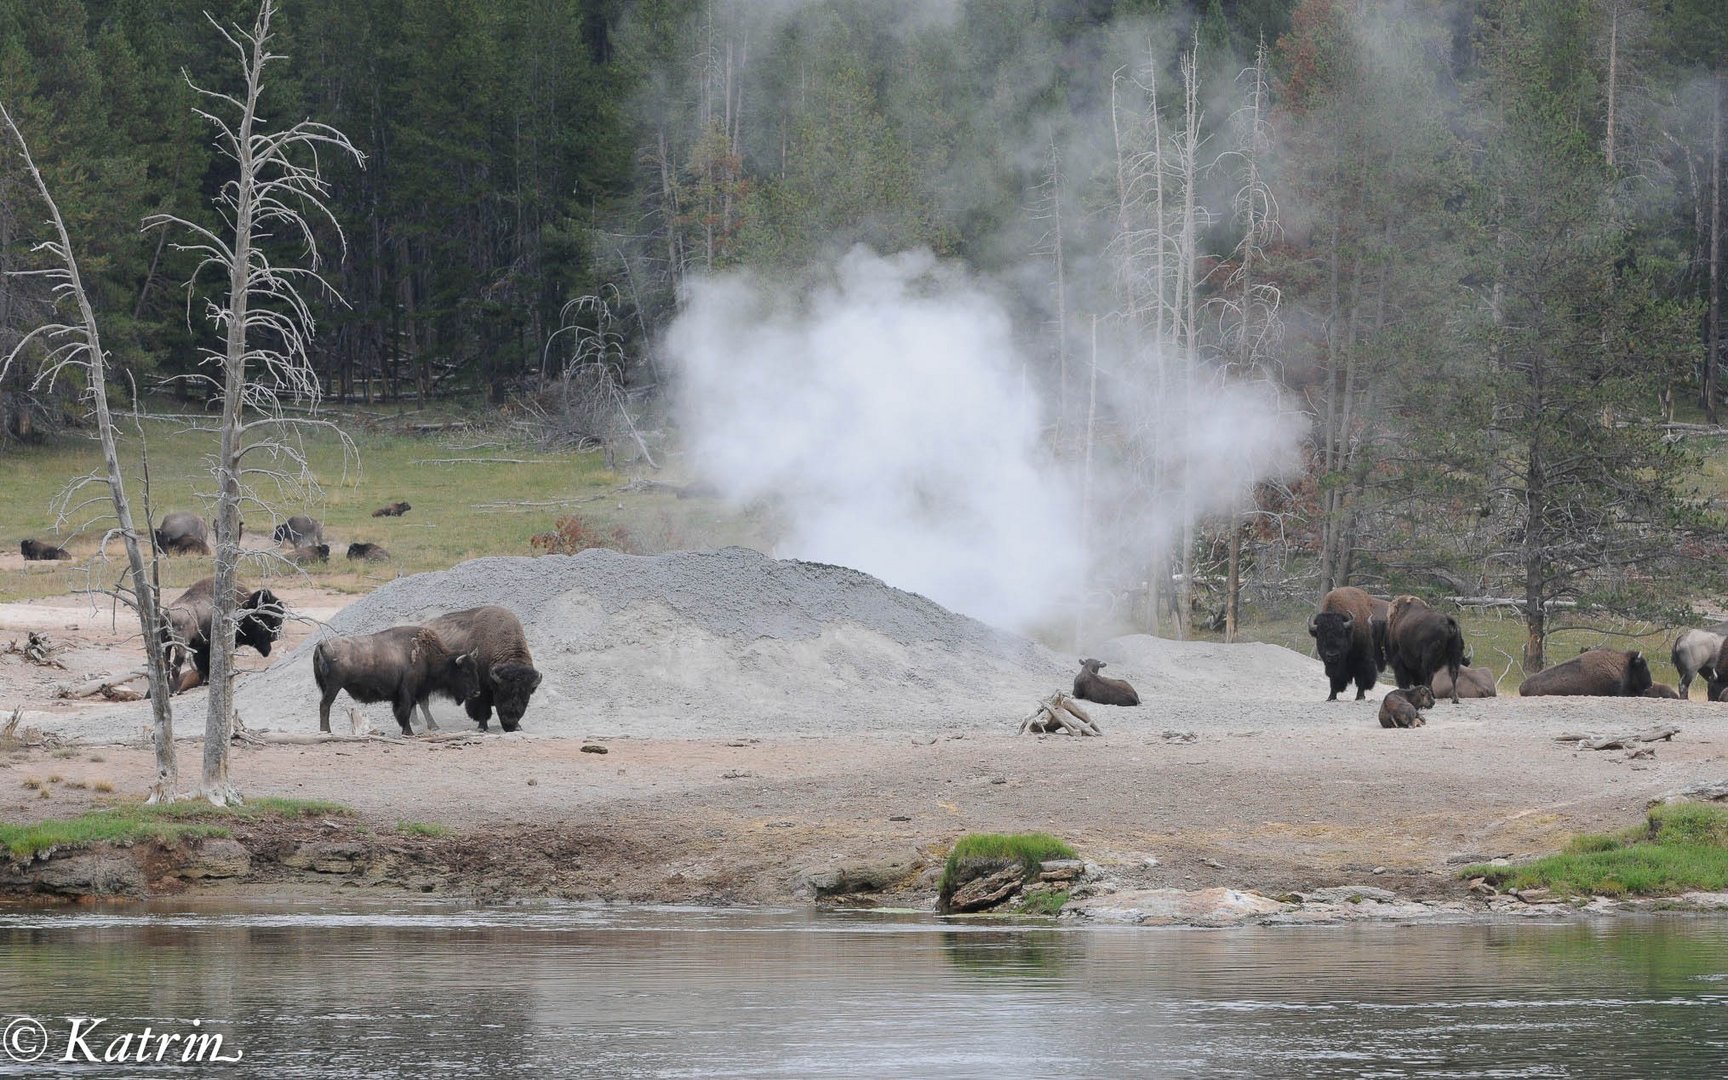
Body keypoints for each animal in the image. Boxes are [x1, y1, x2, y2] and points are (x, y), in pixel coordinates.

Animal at [312, 628, 476, 736]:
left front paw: (432, 726)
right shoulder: (407, 691)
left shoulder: (419, 690)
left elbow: (422, 706)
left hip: (326, 687)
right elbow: (406, 710)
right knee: (325, 705)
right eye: (465, 672)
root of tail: (322, 644)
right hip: (333, 687)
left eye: (474, 669)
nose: (476, 692)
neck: (427, 656)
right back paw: (326, 731)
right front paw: (409, 732)